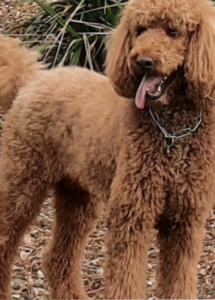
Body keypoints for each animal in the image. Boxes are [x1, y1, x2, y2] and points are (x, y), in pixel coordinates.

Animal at [0, 0, 215, 298]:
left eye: (173, 31)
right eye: (140, 29)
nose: (142, 62)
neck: (171, 131)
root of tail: (31, 80)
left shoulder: (185, 223)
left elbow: (179, 284)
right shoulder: (132, 218)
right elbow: (126, 282)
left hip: (78, 196)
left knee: (57, 257)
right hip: (22, 181)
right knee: (5, 244)